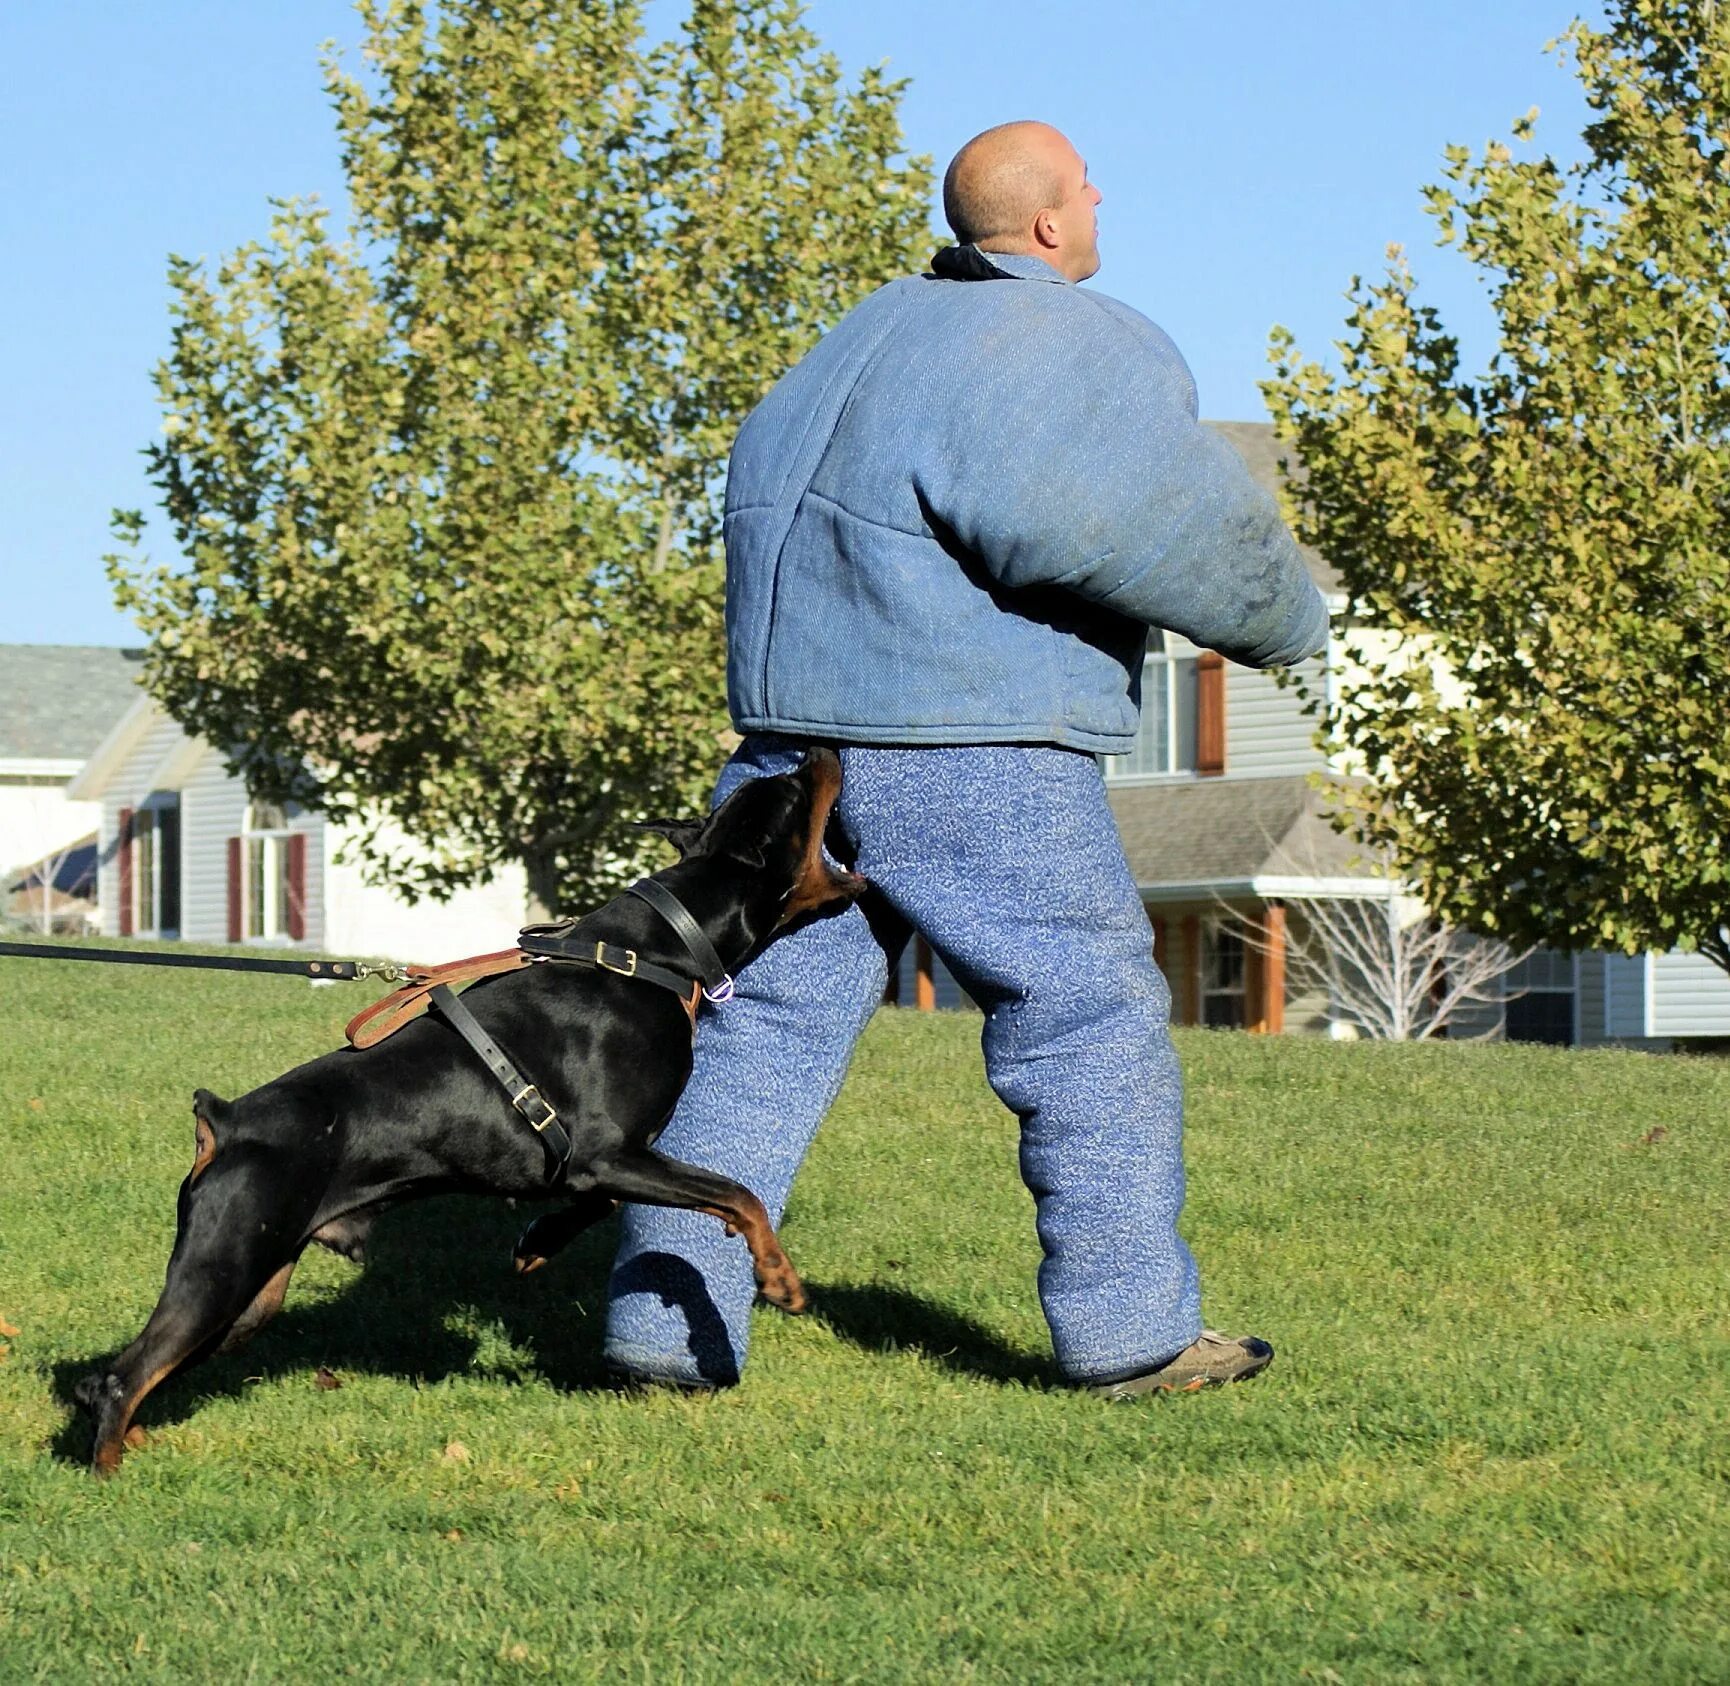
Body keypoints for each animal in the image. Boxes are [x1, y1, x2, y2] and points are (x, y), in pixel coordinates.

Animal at [77, 750, 861, 1480]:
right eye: (793, 791)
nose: (821, 752)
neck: (652, 954)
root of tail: (226, 1122)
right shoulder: (608, 1150)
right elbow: (738, 1194)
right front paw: (781, 1280)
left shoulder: (599, 1163)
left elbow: (605, 1203)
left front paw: (539, 1241)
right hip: (225, 1263)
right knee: (123, 1375)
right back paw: (109, 1470)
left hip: (251, 1295)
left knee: (140, 1370)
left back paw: (136, 1442)